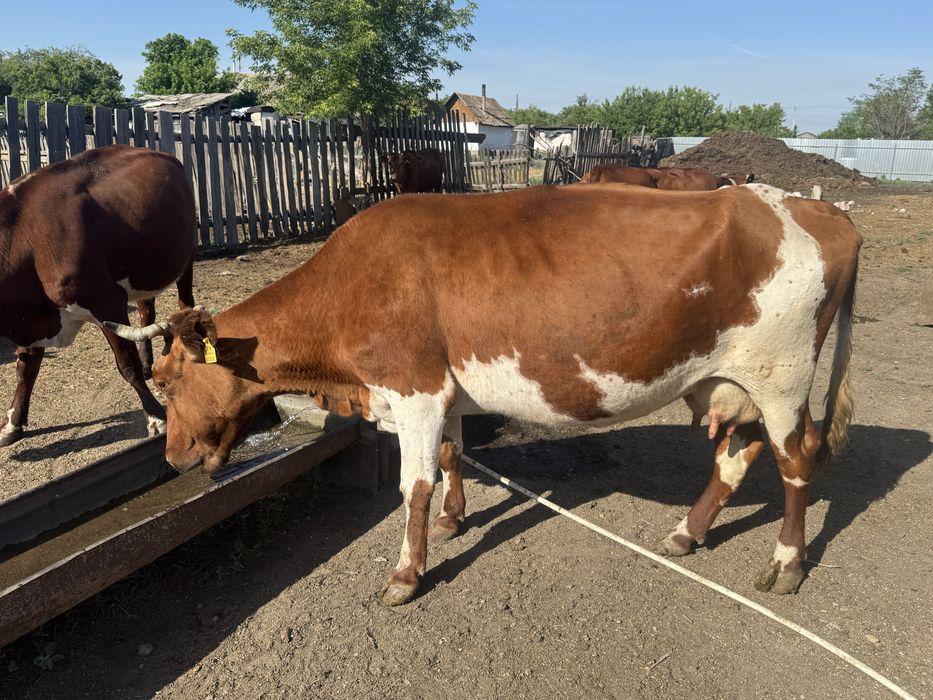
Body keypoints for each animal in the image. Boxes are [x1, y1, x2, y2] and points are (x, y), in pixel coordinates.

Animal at [0, 145, 196, 447]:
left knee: (185, 302)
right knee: (146, 309)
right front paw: (12, 423)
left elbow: (127, 365)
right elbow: (25, 370)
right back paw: (148, 360)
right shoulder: (28, 318)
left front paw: (156, 418)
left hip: (186, 255)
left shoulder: (106, 302)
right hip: (144, 266)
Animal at [109, 182, 861, 606]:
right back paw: (686, 532)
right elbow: (450, 456)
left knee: (793, 463)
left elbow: (411, 486)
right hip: (731, 380)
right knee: (737, 453)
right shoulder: (439, 391)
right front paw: (453, 519)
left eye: (166, 380)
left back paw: (786, 564)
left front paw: (405, 575)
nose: (172, 458)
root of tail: (814, 205)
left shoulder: (411, 388)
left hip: (783, 376)